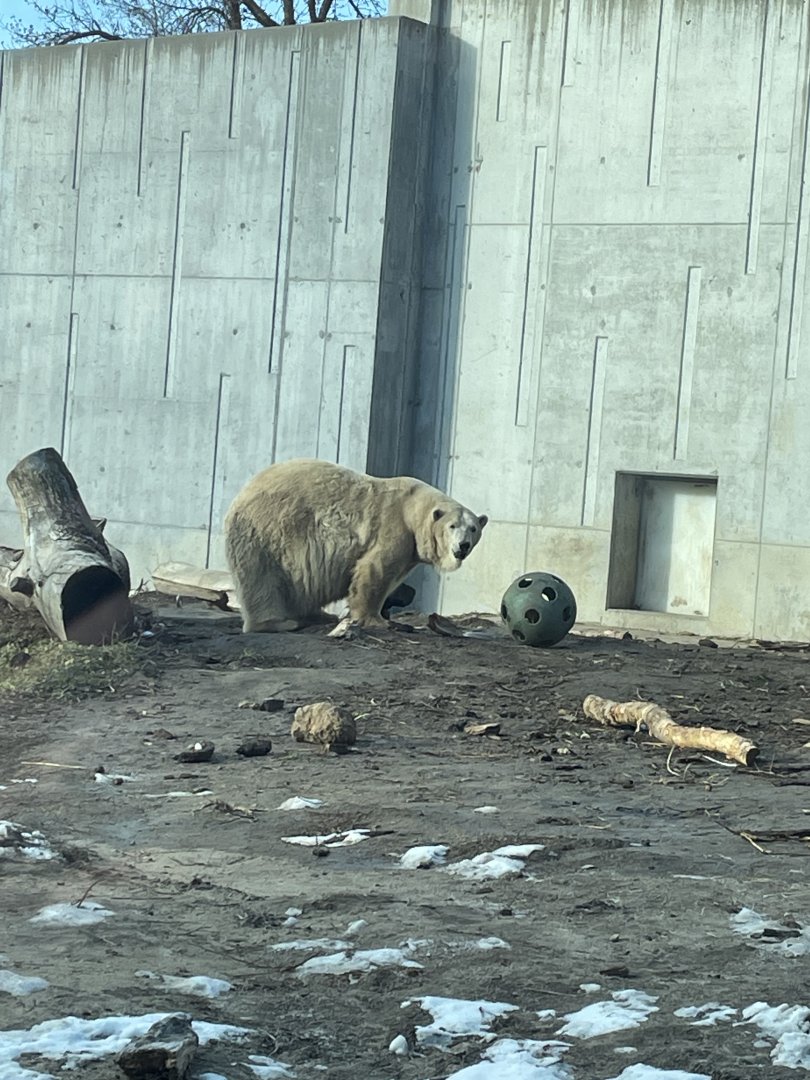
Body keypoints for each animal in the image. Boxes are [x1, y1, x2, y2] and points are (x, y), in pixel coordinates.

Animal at [224, 458, 488, 633]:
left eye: (473, 528)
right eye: (452, 526)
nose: (463, 546)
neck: (412, 507)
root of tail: (242, 494)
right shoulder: (394, 526)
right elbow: (375, 570)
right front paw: (376, 620)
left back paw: (317, 615)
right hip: (266, 531)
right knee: (262, 580)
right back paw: (280, 622)